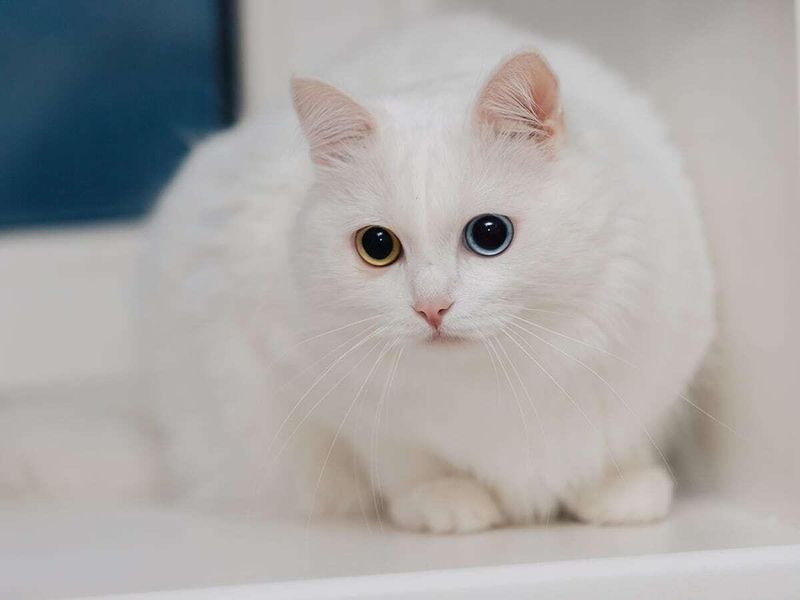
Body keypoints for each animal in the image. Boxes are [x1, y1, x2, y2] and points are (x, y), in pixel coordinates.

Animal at [1, 15, 712, 536]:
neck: (491, 384)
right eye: (377, 247)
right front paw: (448, 502)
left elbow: (623, 440)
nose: (432, 308)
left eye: (490, 235)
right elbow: (404, 461)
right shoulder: (321, 392)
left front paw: (620, 490)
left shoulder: (656, 362)